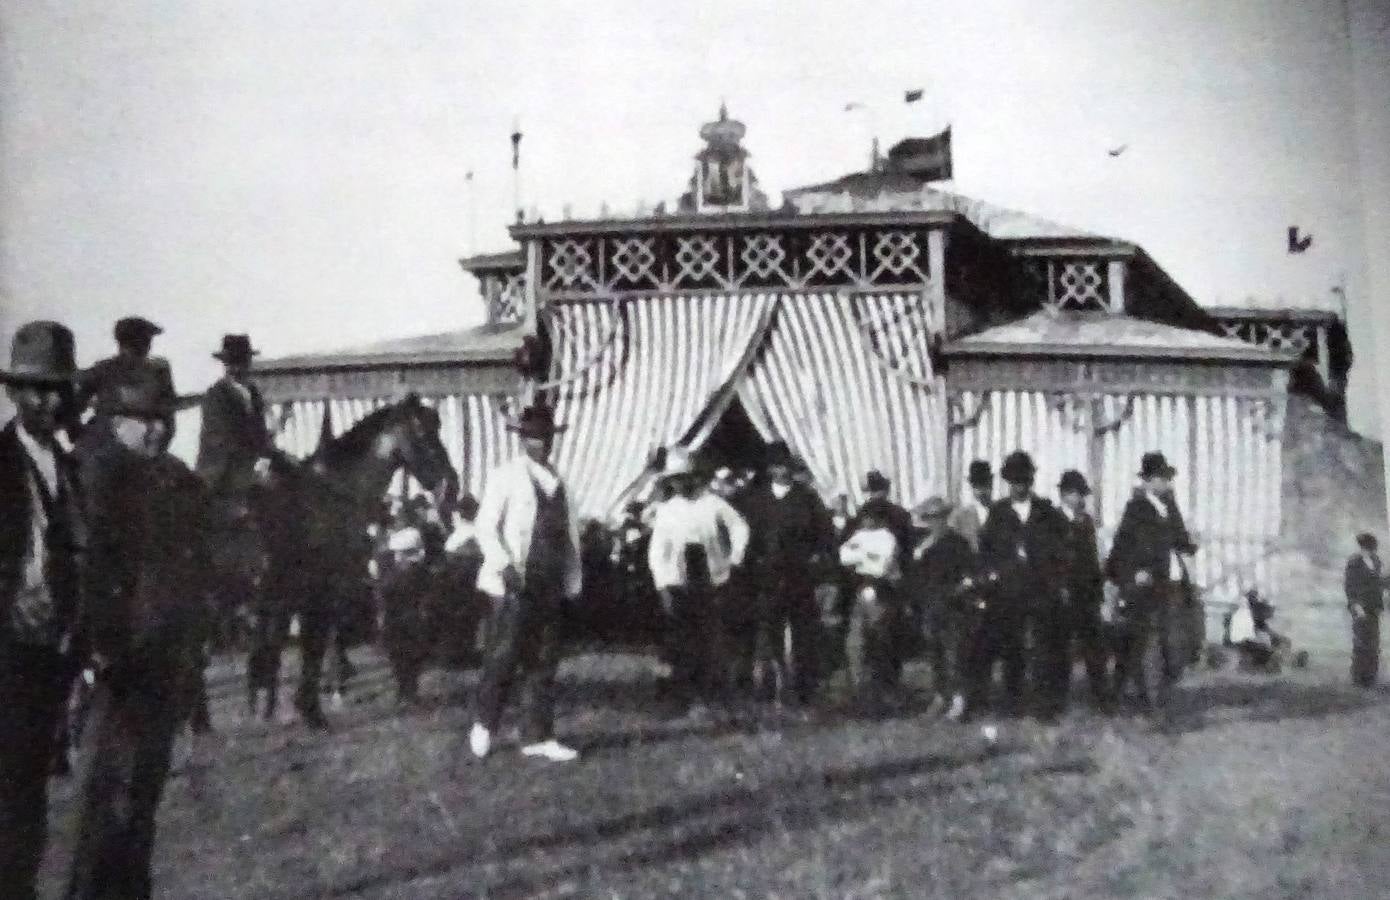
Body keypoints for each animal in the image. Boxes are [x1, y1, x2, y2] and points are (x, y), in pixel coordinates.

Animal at [239, 395, 455, 723]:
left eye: (438, 426)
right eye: (421, 431)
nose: (451, 483)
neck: (331, 498)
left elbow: (312, 643)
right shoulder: (321, 591)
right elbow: (317, 644)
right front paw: (313, 707)